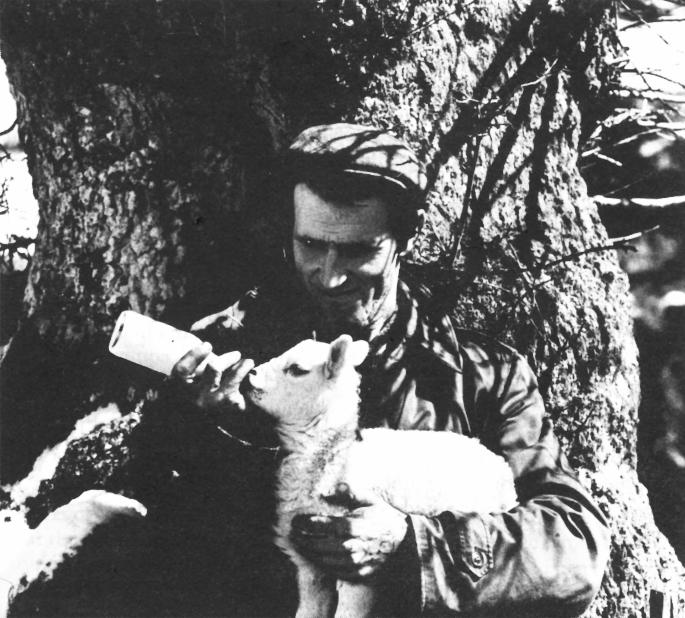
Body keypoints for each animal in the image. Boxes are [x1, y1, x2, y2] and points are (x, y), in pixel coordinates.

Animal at [247, 336, 520, 616]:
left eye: (297, 369)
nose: (250, 374)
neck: (336, 454)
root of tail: (502, 468)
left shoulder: (355, 565)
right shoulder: (307, 563)